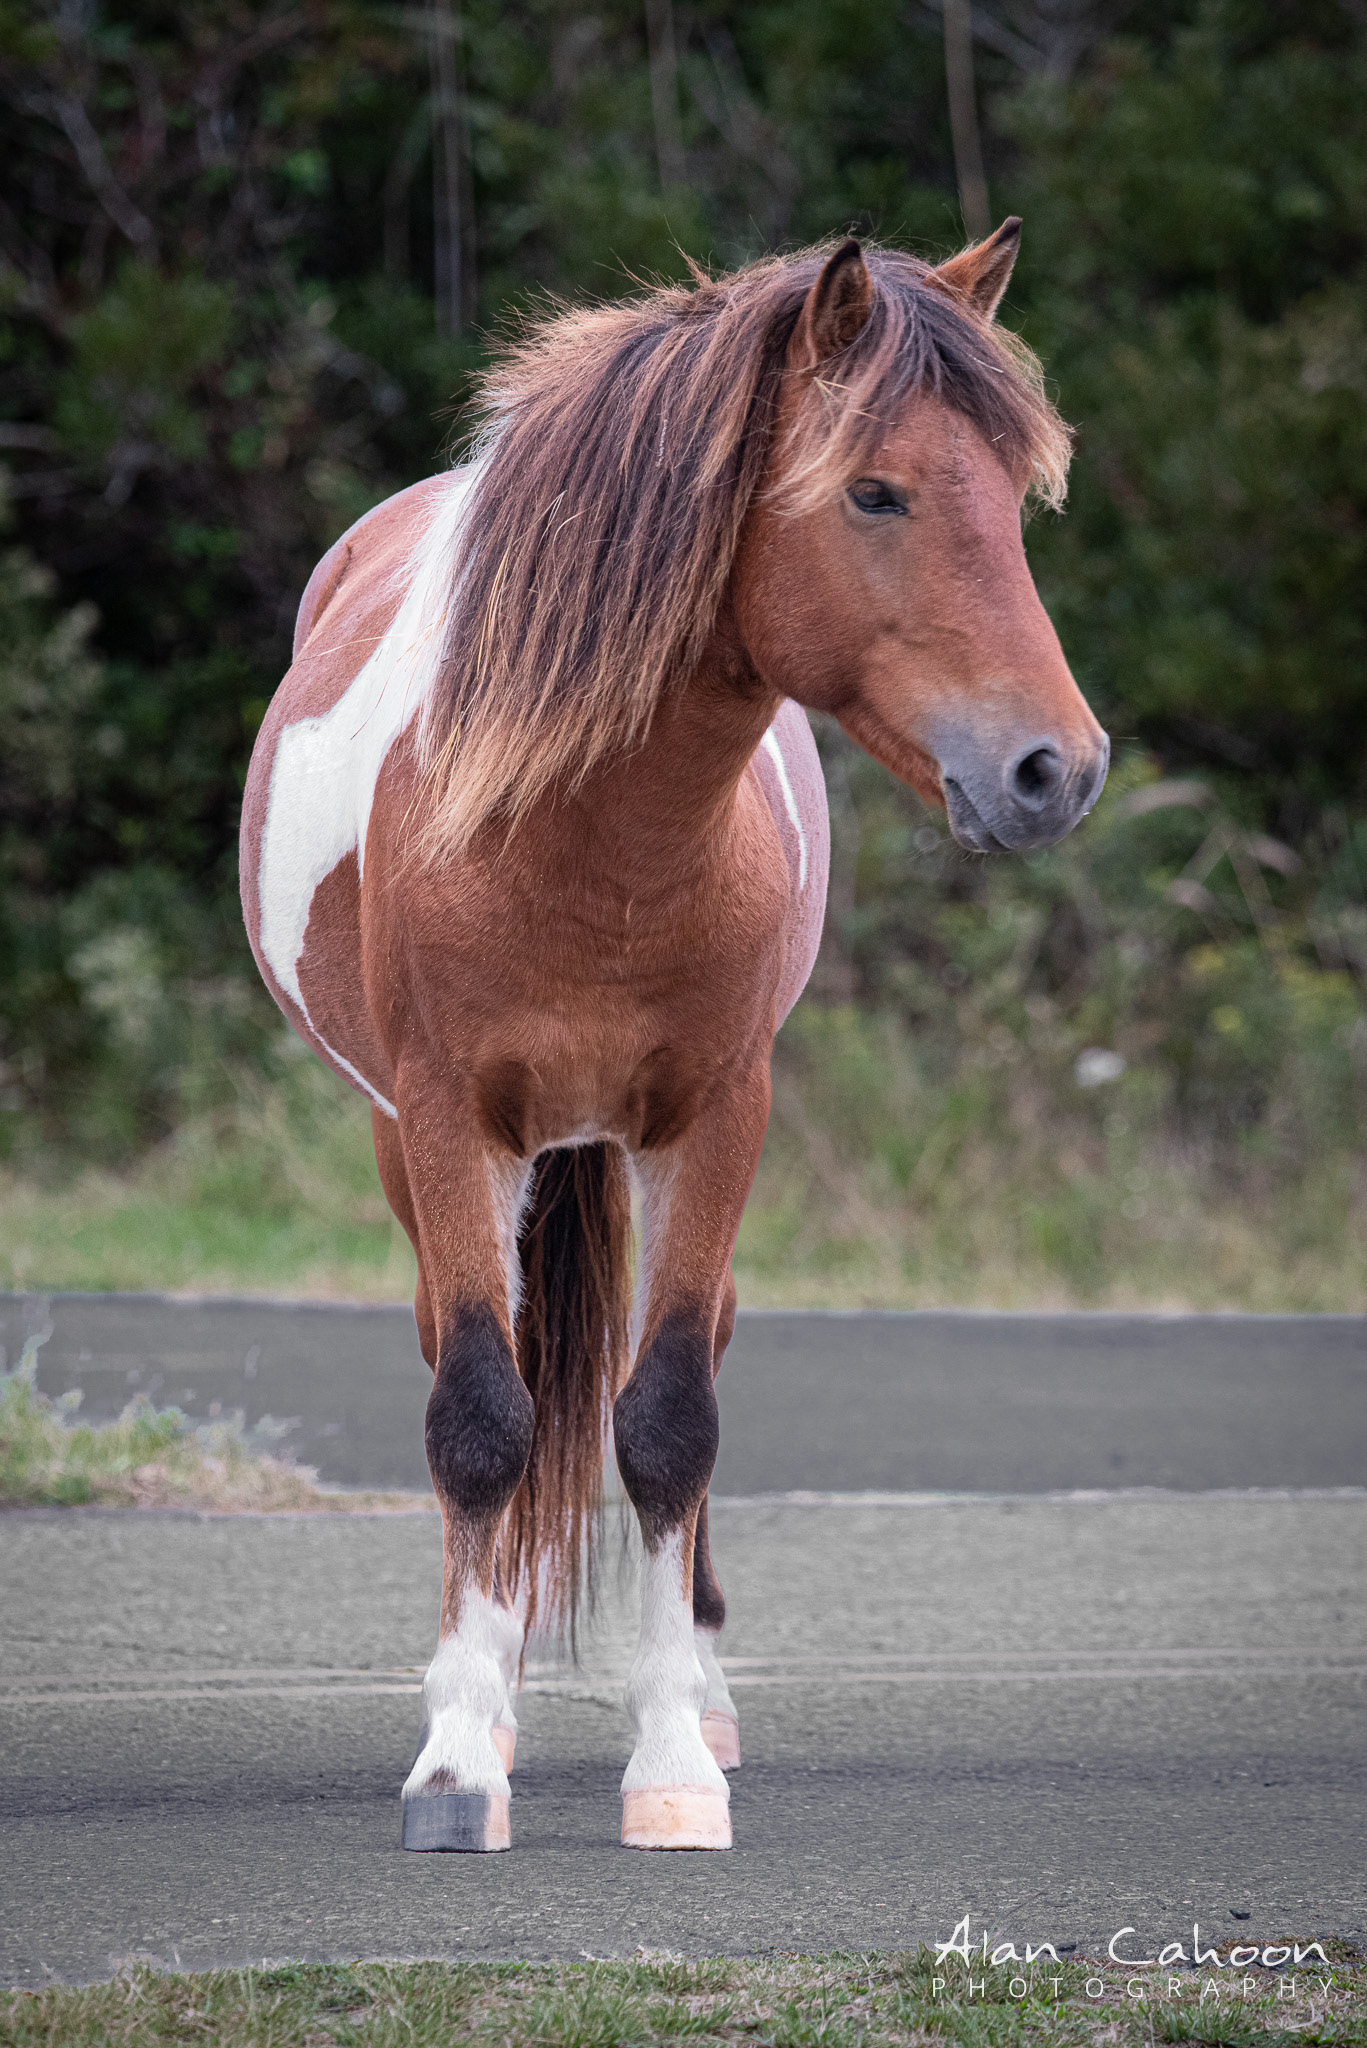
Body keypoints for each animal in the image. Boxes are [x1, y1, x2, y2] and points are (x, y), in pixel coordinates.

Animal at [239, 222, 1109, 1855]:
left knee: (679, 1359)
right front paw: (457, 1762)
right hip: (432, 1149)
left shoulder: (717, 1117)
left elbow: (665, 1419)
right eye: (873, 490)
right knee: (488, 1371)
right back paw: (496, 1692)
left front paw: (669, 1770)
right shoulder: (445, 1118)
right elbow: (480, 1415)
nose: (1054, 770)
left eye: (1016, 498)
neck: (583, 839)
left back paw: (691, 1694)